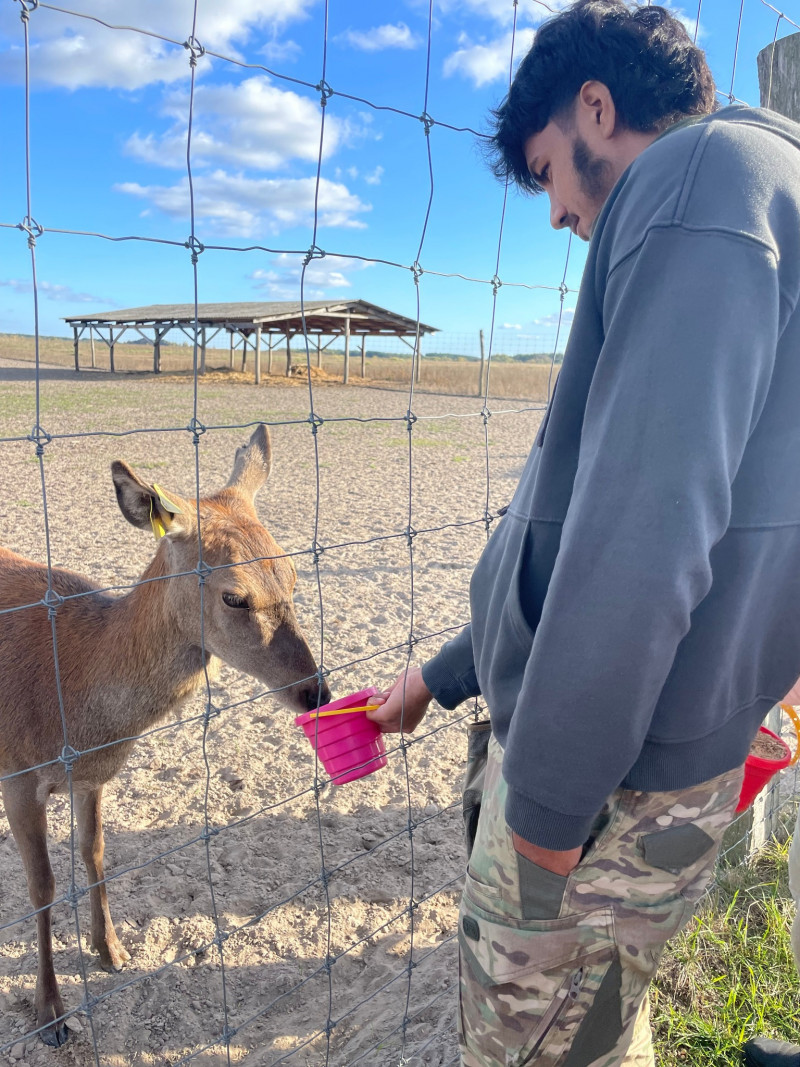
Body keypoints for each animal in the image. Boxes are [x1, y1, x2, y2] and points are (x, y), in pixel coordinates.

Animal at [0, 424, 328, 1041]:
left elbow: (94, 852)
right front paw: (51, 1012)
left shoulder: (93, 777)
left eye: (295, 575)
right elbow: (42, 886)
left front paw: (112, 951)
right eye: (233, 595)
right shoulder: (17, 774)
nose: (315, 693)